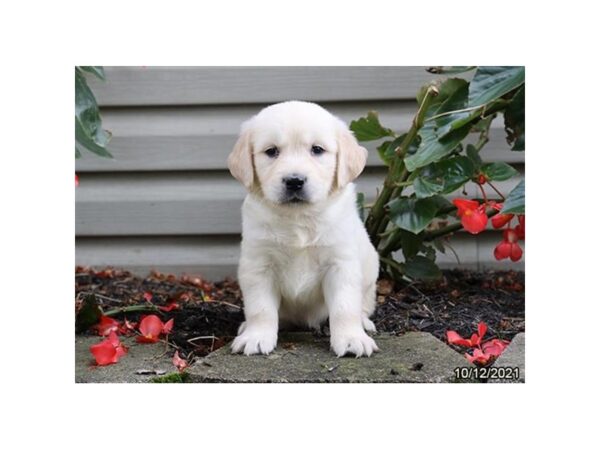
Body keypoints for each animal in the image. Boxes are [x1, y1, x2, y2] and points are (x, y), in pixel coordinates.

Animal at [227, 100, 378, 356]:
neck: (298, 218)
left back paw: (364, 323)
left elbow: (345, 307)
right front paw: (256, 336)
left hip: (371, 270)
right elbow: (260, 308)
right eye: (271, 151)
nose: (294, 181)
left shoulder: (341, 264)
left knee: (363, 305)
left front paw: (351, 339)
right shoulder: (259, 264)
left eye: (317, 149)